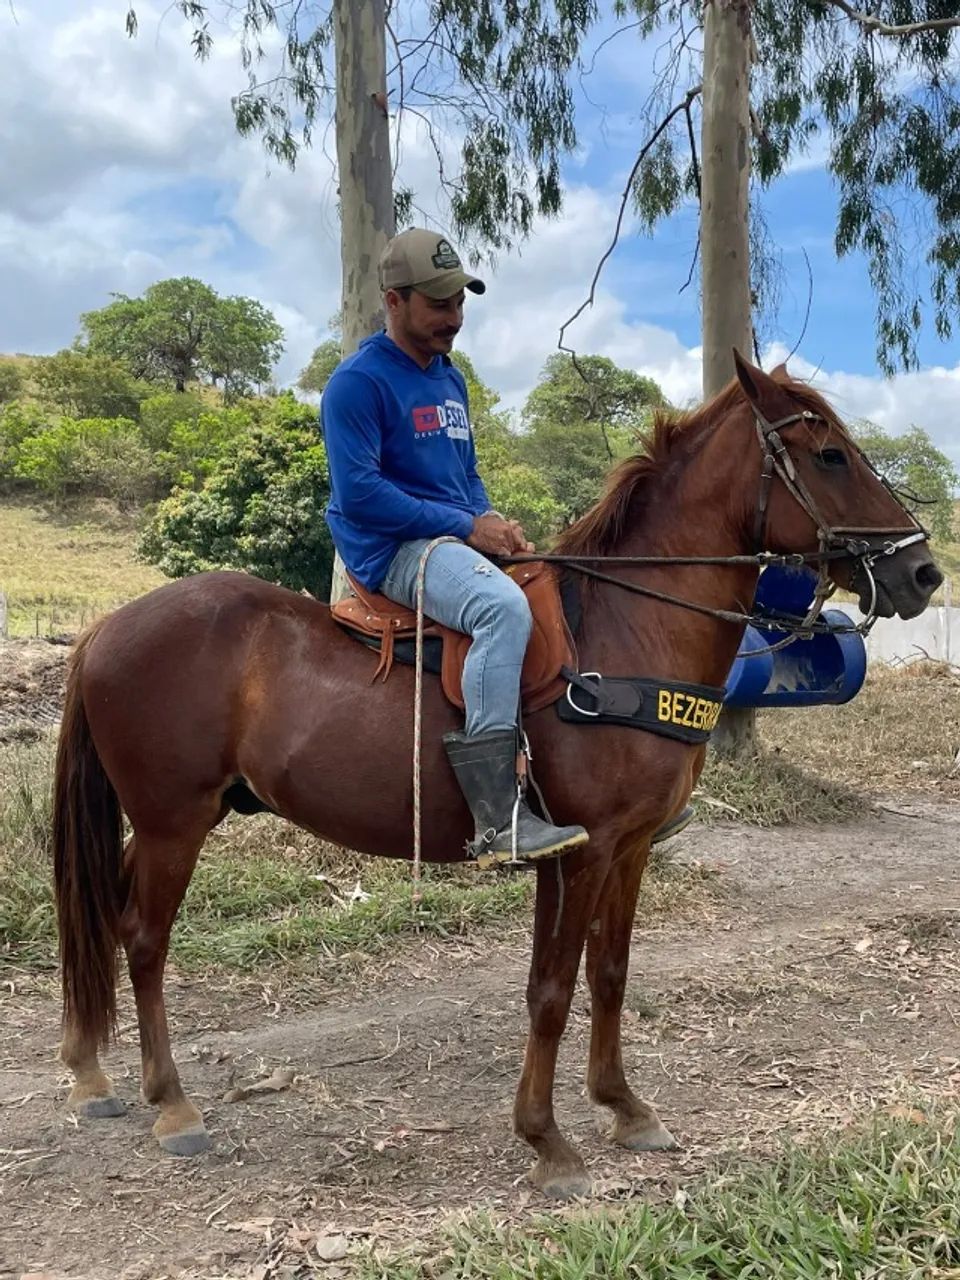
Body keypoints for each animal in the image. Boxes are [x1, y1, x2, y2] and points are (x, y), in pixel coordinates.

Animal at [52, 354, 941, 1199]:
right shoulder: (583, 851)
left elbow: (608, 976)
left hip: (166, 824)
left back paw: (91, 1072)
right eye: (830, 455)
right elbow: (551, 990)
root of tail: (106, 629)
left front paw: (624, 1106)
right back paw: (171, 1102)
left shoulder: (629, 848)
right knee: (143, 938)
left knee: (105, 916)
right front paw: (548, 1142)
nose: (925, 573)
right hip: (173, 823)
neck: (626, 626)